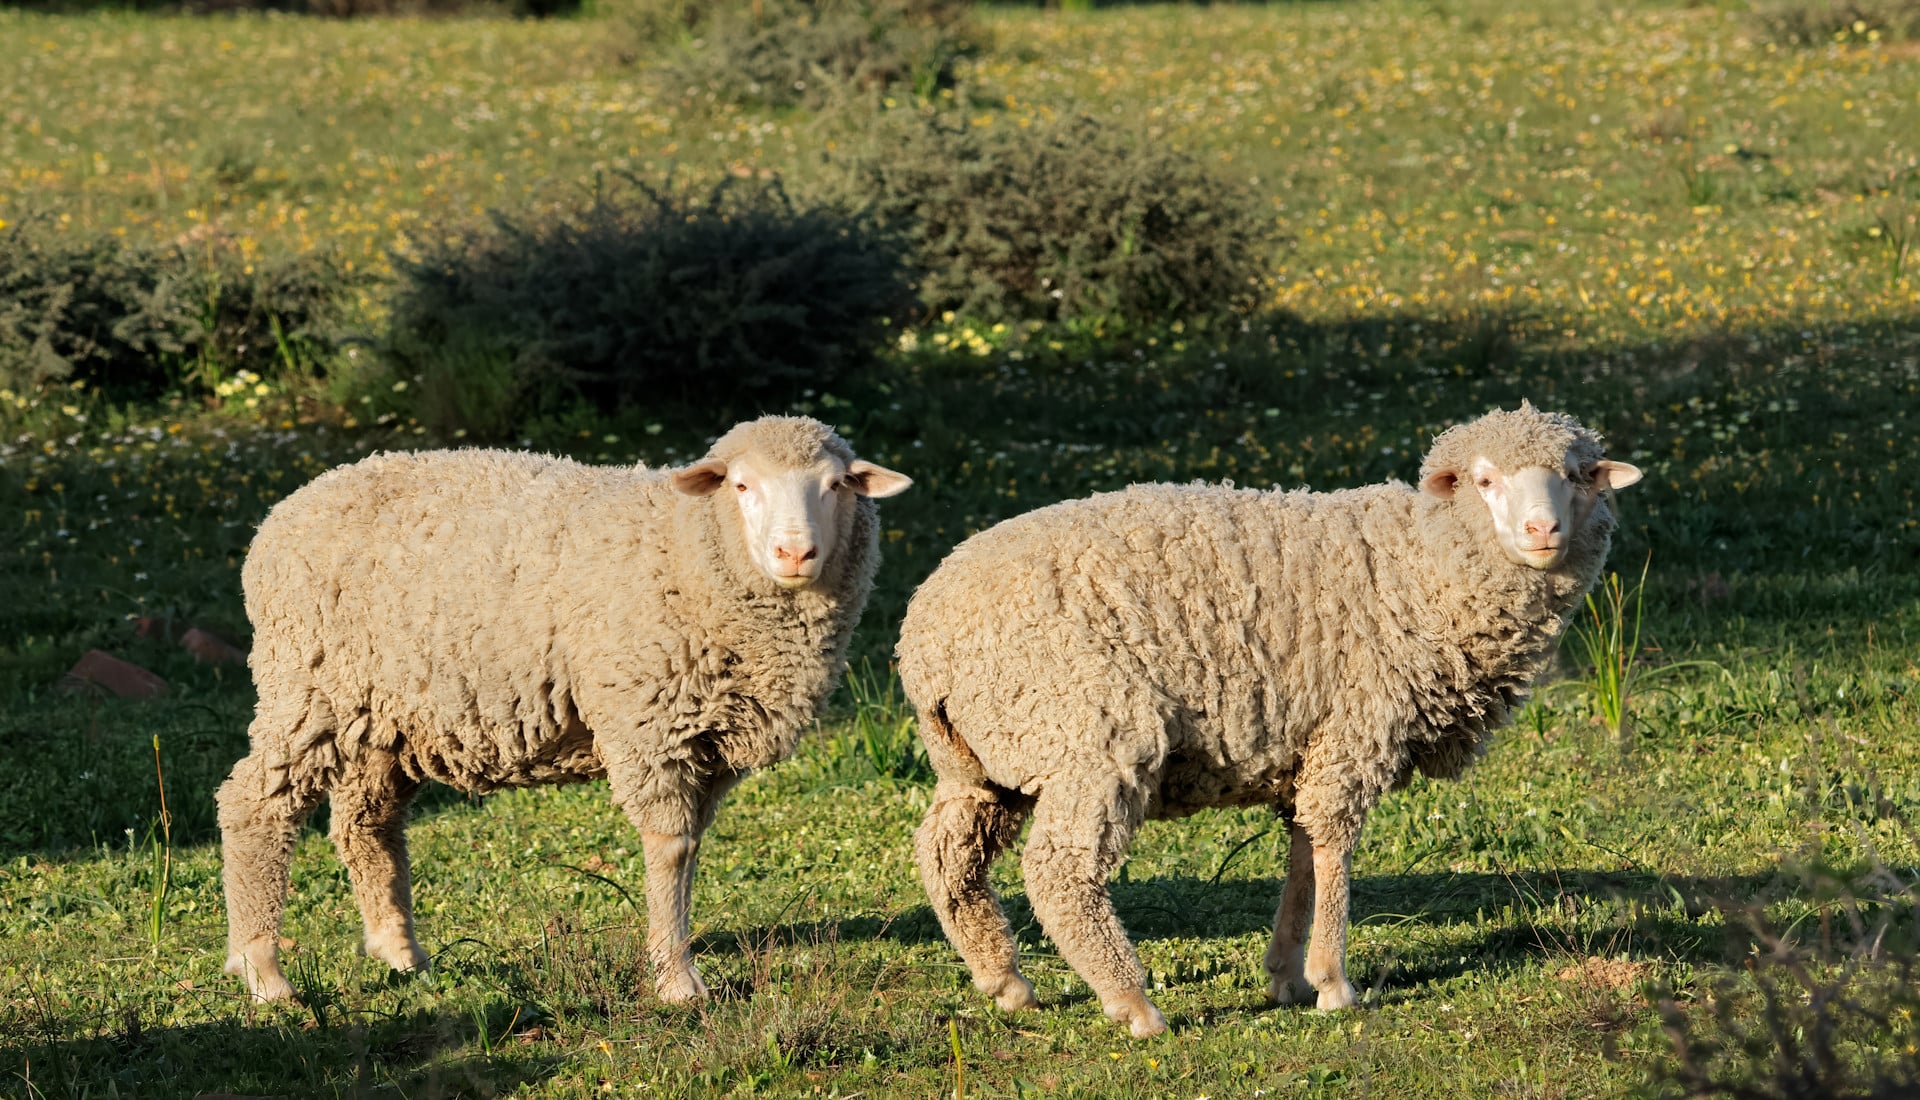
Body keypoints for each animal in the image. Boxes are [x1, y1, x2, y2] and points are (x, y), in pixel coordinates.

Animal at [217, 415, 911, 1004]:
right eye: (743, 486)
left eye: (835, 486)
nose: (795, 554)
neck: (681, 543)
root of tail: (279, 517)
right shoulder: (647, 723)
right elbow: (670, 849)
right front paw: (676, 979)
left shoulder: (709, 744)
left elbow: (691, 848)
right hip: (307, 686)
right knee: (254, 806)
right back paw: (263, 971)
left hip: (387, 715)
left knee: (366, 824)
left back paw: (402, 954)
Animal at [896, 403, 1641, 1037]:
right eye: (1485, 481)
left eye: (1577, 477)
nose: (1542, 531)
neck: (1419, 567)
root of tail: (925, 631)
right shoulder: (1354, 727)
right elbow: (1334, 846)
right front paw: (1334, 982)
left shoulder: (1306, 743)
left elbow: (1303, 851)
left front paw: (1287, 975)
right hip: (1091, 732)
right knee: (1059, 872)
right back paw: (1132, 1001)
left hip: (987, 756)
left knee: (946, 854)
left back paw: (1005, 981)